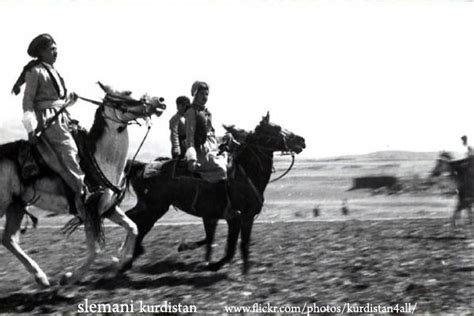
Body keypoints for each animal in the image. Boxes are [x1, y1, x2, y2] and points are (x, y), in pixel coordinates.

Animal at [0, 83, 166, 286]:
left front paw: (120, 262)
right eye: (128, 92)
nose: (160, 101)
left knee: (8, 239)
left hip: (16, 205)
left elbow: (133, 228)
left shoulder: (107, 208)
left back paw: (41, 277)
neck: (100, 159)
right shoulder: (88, 210)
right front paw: (71, 276)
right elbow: (95, 250)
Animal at [124, 112, 306, 272]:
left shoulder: (242, 218)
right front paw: (214, 265)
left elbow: (239, 244)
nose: (301, 140)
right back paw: (130, 257)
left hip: (149, 206)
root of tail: (143, 166)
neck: (246, 174)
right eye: (276, 128)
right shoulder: (235, 218)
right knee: (139, 224)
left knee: (134, 220)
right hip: (154, 208)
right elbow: (231, 248)